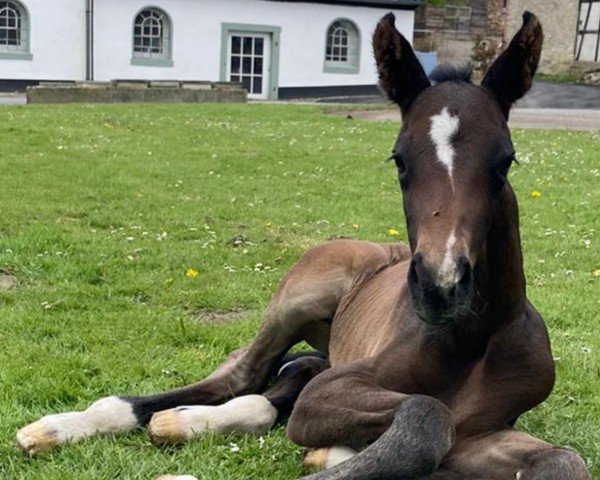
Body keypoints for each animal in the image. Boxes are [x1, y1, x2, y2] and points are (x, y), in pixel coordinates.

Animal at [15, 11, 592, 480]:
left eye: (505, 161)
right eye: (400, 159)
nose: (441, 285)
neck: (471, 340)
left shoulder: (483, 430)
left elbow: (561, 459)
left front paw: (333, 452)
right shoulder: (338, 389)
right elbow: (428, 414)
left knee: (273, 387)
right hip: (299, 298)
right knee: (244, 373)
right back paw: (69, 426)